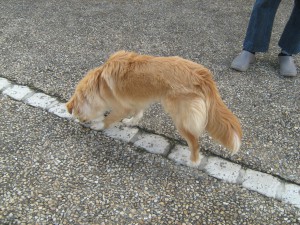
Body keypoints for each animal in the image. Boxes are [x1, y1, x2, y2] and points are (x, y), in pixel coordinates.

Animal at [65, 51, 241, 167]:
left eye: (79, 115)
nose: (81, 123)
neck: (99, 84)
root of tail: (202, 75)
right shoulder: (135, 101)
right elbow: (137, 113)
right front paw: (131, 122)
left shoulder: (121, 107)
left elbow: (109, 118)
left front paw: (98, 125)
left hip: (180, 117)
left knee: (194, 142)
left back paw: (192, 162)